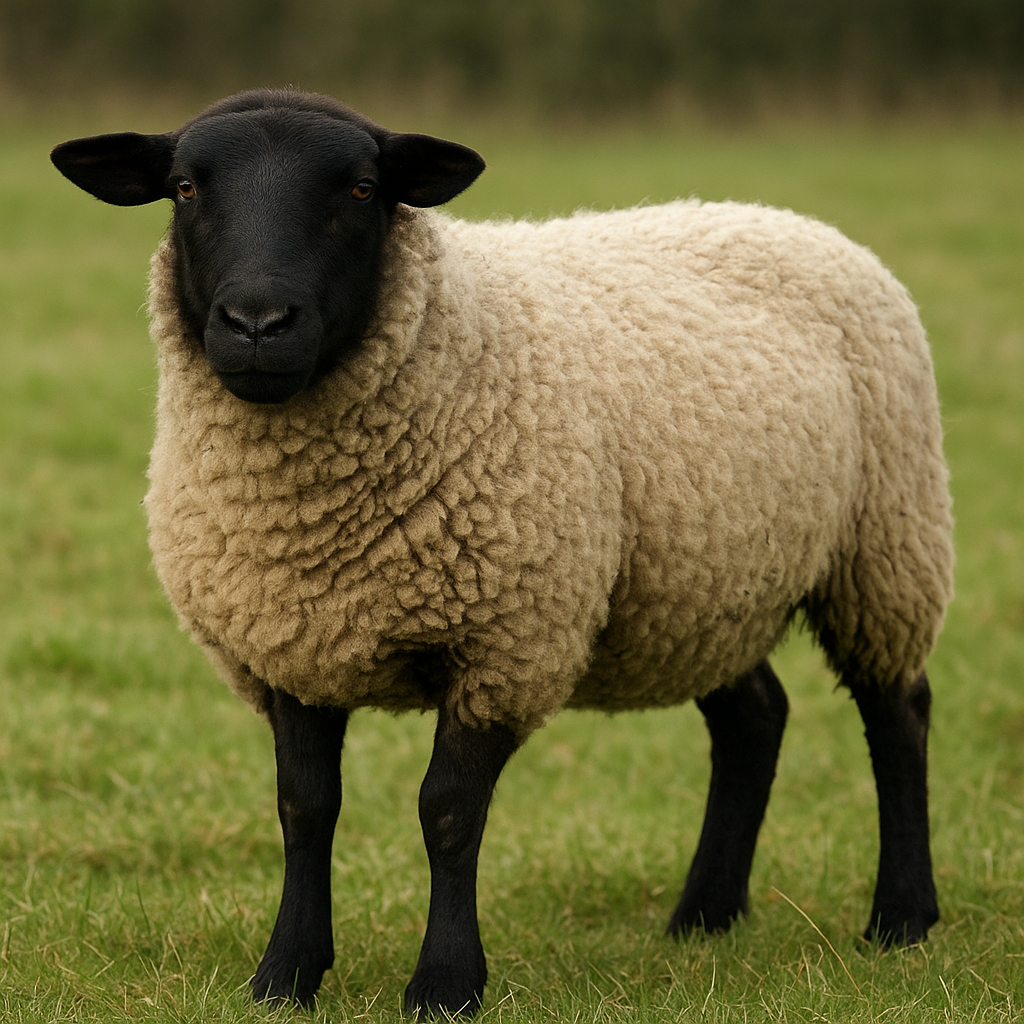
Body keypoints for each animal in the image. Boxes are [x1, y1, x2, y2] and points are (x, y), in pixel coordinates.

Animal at [50, 89, 954, 1019]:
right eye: (185, 187)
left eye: (364, 189)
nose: (257, 324)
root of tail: (781, 215)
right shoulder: (288, 642)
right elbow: (304, 807)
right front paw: (285, 976)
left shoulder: (503, 642)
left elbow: (447, 812)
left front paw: (445, 983)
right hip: (702, 584)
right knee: (756, 717)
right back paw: (704, 916)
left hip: (886, 542)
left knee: (898, 713)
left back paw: (901, 918)